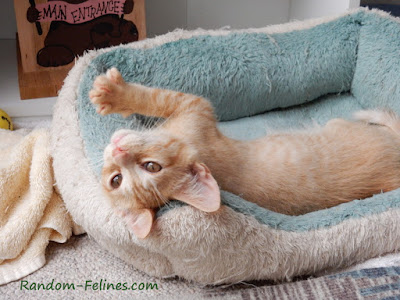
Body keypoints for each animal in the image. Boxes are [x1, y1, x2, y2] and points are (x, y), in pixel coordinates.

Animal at [90, 67, 400, 237]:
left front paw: (113, 94)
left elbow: (156, 97)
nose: (117, 150)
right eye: (116, 180)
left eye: (152, 166)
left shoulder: (195, 107)